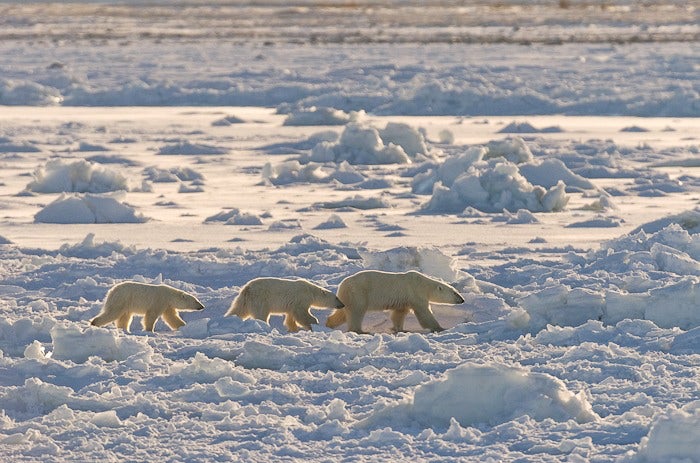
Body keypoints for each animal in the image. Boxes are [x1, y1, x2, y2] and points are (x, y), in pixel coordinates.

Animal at [324, 270, 464, 336]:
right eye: (454, 293)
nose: (462, 299)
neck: (423, 284)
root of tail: (342, 285)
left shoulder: (405, 299)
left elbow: (399, 313)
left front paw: (401, 329)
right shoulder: (415, 292)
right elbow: (424, 313)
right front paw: (440, 328)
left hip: (347, 298)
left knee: (342, 313)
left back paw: (329, 324)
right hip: (358, 293)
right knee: (356, 311)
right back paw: (360, 331)